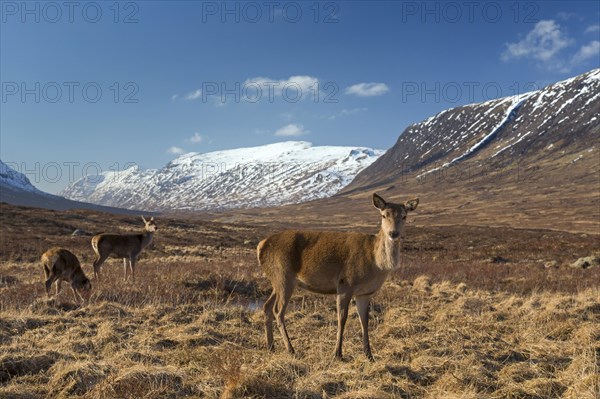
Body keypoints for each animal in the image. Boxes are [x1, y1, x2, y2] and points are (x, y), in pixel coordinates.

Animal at [256, 194, 418, 362]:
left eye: (404, 216)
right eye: (383, 215)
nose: (393, 233)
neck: (376, 263)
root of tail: (260, 245)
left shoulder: (365, 293)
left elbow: (364, 320)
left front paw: (369, 355)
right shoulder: (345, 284)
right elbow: (342, 318)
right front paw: (338, 354)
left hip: (277, 281)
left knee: (266, 307)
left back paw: (271, 346)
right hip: (283, 276)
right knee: (278, 311)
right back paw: (291, 349)